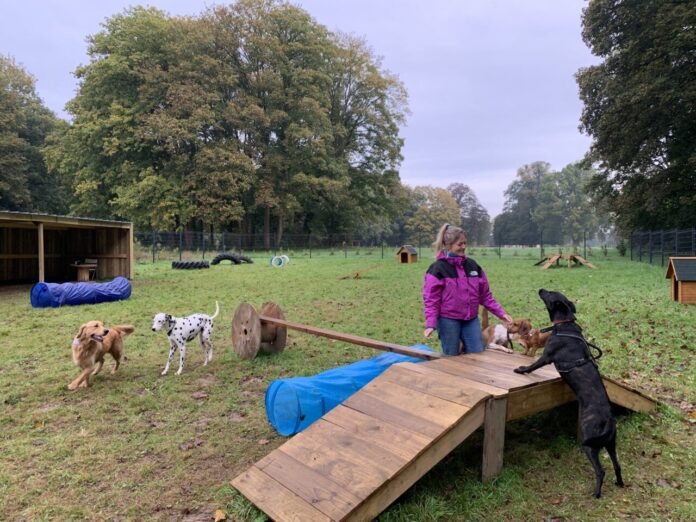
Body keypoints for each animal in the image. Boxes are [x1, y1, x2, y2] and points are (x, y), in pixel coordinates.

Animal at [512, 288, 624, 496]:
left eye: (550, 293)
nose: (541, 289)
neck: (564, 325)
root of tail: (608, 423)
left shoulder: (547, 356)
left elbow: (533, 365)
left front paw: (521, 369)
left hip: (589, 444)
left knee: (601, 470)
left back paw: (596, 493)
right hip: (611, 444)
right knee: (617, 465)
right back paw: (619, 483)